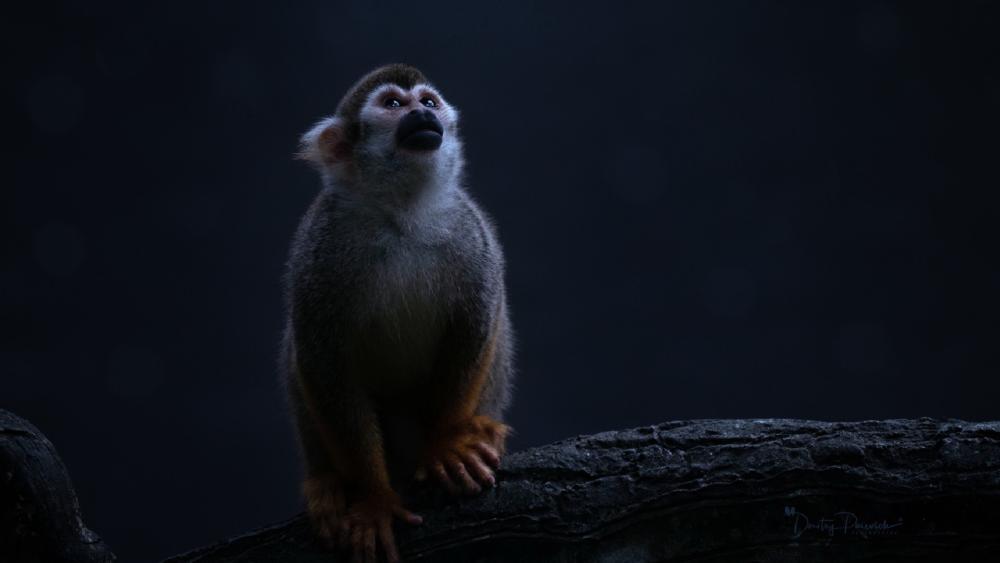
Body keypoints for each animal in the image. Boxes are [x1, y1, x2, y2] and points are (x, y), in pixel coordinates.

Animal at [280, 64, 514, 563]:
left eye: (427, 102)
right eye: (392, 104)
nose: (423, 116)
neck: (402, 214)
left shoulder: (469, 228)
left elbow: (477, 321)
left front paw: (447, 443)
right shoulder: (321, 243)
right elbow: (322, 358)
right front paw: (374, 498)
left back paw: (480, 429)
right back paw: (326, 481)